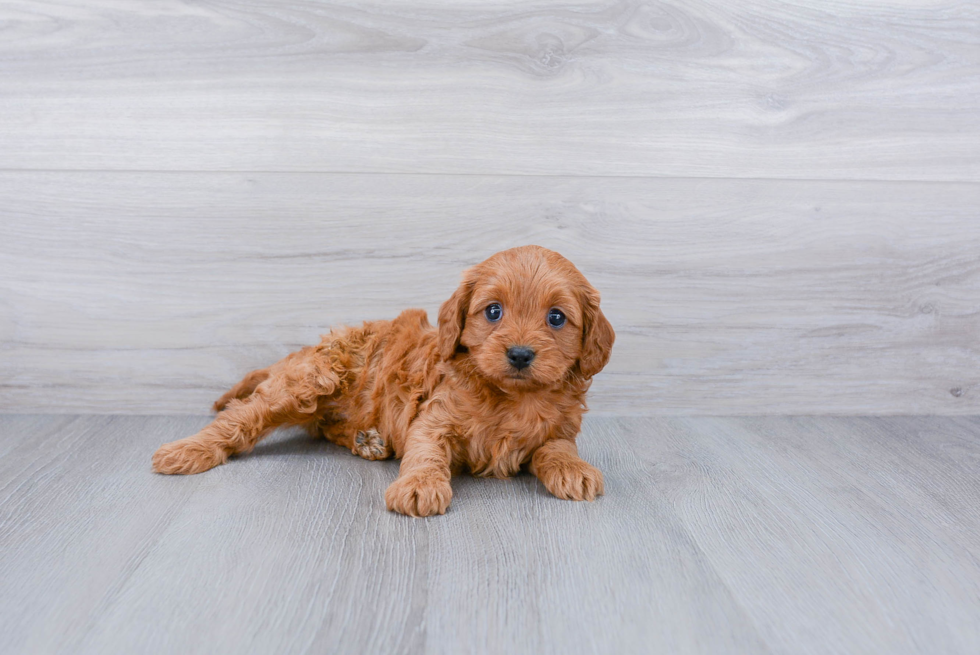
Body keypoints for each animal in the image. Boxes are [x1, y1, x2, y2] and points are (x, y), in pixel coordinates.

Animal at [152, 246, 612, 516]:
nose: (519, 354)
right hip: (308, 382)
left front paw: (573, 470)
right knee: (240, 418)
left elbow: (557, 449)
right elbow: (426, 453)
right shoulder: (433, 418)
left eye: (556, 318)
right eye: (494, 311)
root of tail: (307, 348)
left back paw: (367, 441)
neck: (512, 397)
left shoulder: (558, 429)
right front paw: (419, 487)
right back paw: (187, 450)